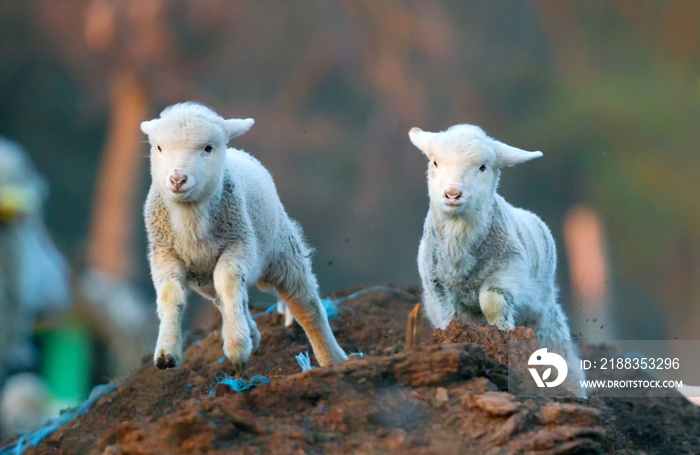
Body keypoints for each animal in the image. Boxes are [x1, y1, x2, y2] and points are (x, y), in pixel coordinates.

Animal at [142, 102, 348, 370]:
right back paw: (251, 332)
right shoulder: (164, 254)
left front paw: (237, 348)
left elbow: (228, 281)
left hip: (283, 253)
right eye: (159, 148)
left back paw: (332, 359)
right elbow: (170, 294)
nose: (177, 179)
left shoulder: (240, 244)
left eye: (208, 148)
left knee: (306, 304)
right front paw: (166, 353)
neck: (190, 219)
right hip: (207, 275)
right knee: (228, 300)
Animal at [410, 124, 584, 396]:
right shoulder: (442, 294)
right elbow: (454, 320)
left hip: (543, 309)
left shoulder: (509, 272)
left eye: (482, 167)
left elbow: (492, 301)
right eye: (435, 162)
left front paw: (503, 332)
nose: (452, 194)